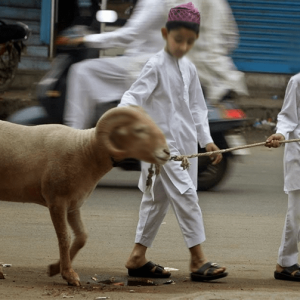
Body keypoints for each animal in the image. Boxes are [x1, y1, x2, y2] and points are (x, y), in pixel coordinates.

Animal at [0, 105, 170, 286]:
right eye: (139, 130)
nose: (167, 152)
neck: (84, 151)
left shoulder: (73, 204)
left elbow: (82, 237)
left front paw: (54, 268)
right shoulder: (56, 201)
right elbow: (65, 237)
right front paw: (69, 275)